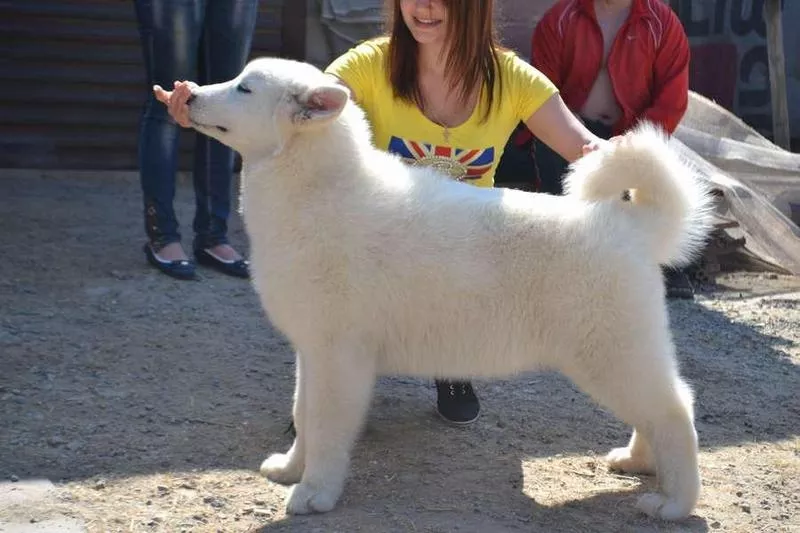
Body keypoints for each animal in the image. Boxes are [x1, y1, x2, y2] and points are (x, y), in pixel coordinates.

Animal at [186, 58, 712, 520]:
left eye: (244, 88)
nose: (187, 94)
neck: (317, 190)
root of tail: (629, 223)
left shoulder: (338, 357)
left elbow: (324, 425)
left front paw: (315, 493)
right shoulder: (312, 352)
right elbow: (303, 413)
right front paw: (292, 469)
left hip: (610, 356)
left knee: (674, 411)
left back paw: (674, 503)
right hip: (621, 358)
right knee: (658, 411)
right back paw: (638, 462)